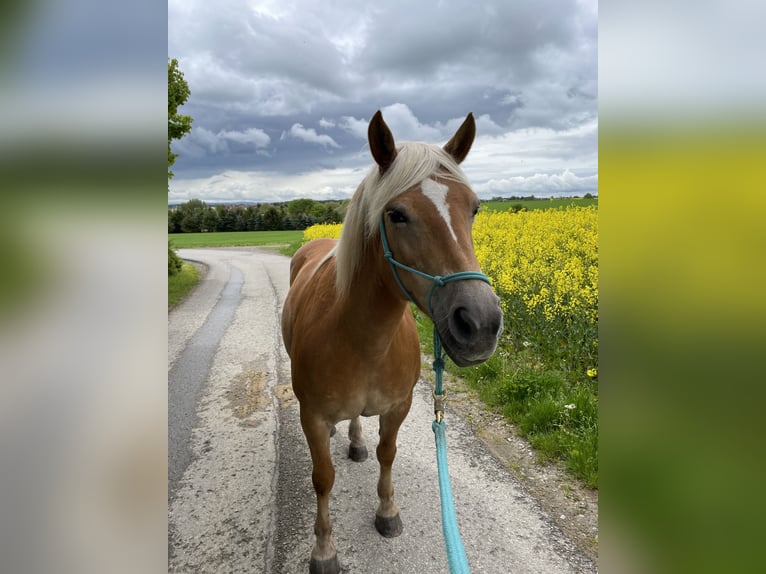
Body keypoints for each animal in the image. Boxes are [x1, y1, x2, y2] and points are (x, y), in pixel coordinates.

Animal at [282, 110, 504, 572]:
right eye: (397, 214)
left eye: (474, 208)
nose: (480, 323)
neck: (363, 340)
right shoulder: (311, 417)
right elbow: (322, 478)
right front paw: (324, 548)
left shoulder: (399, 407)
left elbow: (388, 453)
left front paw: (387, 511)